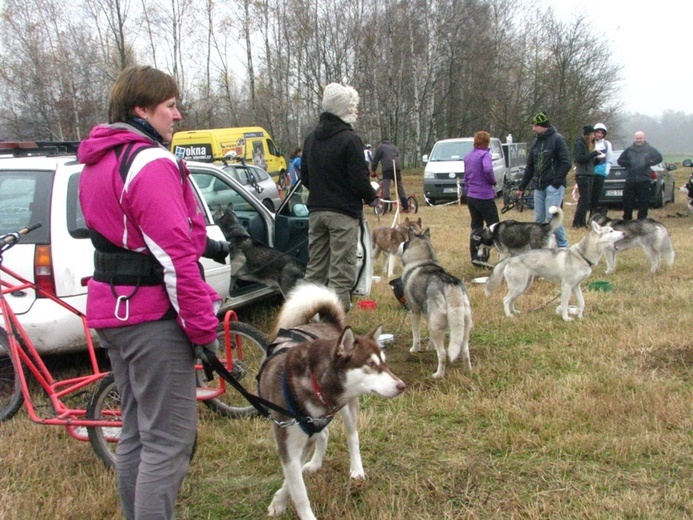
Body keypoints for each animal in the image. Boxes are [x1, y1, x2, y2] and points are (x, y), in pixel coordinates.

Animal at [260, 284, 406, 520]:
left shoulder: (299, 442)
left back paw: (356, 469)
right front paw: (281, 503)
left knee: (352, 437)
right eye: (371, 364)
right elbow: (297, 489)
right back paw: (315, 463)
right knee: (324, 434)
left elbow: (292, 482)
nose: (402, 386)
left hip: (348, 408)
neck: (313, 381)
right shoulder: (289, 441)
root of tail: (328, 324)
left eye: (384, 362)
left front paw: (279, 501)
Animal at [398, 229, 474, 378]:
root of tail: (450, 284)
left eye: (405, 242)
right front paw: (429, 347)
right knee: (465, 351)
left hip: (438, 327)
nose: (400, 244)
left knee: (443, 354)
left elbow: (416, 334)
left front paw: (415, 349)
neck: (421, 261)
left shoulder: (414, 312)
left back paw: (438, 375)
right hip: (464, 327)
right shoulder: (429, 318)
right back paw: (467, 371)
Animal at [484, 220, 624, 320]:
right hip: (519, 287)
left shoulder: (576, 286)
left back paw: (515, 312)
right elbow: (565, 304)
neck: (582, 256)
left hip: (523, 286)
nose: (624, 233)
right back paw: (509, 315)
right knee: (506, 300)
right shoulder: (567, 286)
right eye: (611, 230)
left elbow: (582, 303)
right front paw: (566, 318)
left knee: (511, 300)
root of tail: (510, 258)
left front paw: (580, 316)